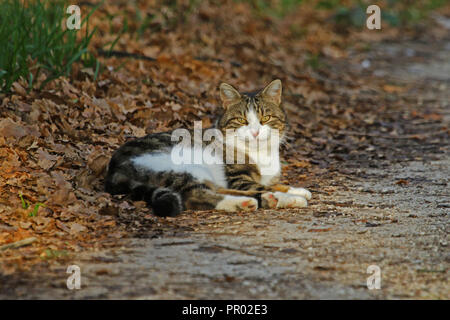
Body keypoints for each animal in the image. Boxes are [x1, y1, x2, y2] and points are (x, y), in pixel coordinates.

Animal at [104, 79, 312, 216]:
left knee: (215, 190)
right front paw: (292, 196)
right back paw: (253, 202)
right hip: (181, 166)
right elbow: (261, 185)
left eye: (265, 119)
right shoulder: (238, 178)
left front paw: (295, 189)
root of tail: (113, 168)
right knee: (196, 195)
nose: (255, 132)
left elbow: (274, 184)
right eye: (241, 120)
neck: (260, 153)